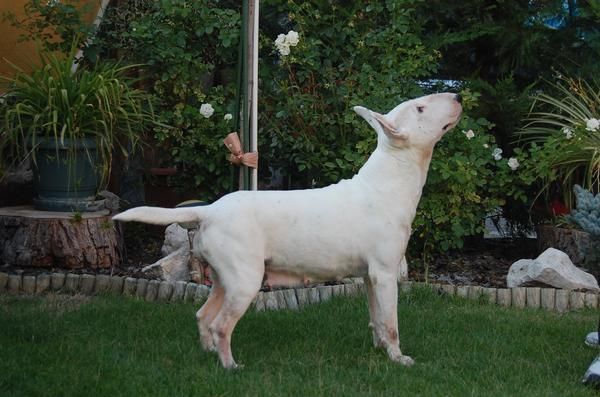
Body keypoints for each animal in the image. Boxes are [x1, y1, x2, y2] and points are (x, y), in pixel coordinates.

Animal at [116, 93, 464, 368]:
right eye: (420, 108)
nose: (459, 96)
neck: (389, 180)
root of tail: (210, 210)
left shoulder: (370, 275)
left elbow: (377, 317)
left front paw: (380, 350)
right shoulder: (385, 272)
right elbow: (391, 321)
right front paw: (399, 358)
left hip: (224, 278)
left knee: (203, 315)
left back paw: (209, 355)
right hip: (245, 279)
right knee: (221, 325)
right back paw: (230, 366)